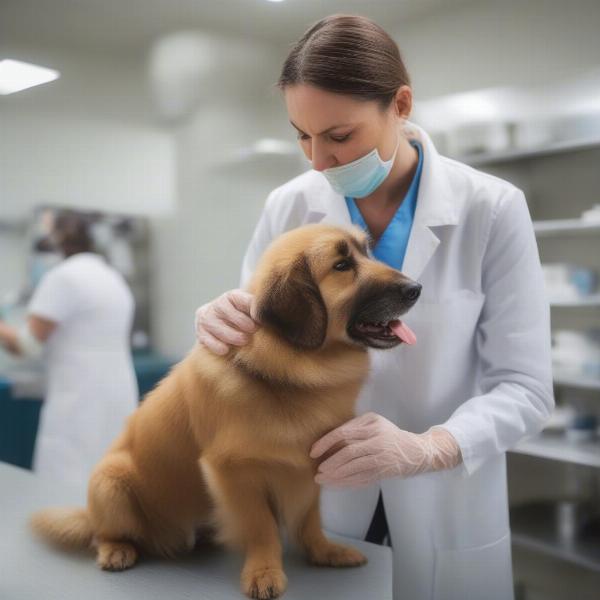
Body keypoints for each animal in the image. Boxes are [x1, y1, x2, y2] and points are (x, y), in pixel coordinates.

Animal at [29, 224, 422, 600]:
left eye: (366, 251)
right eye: (342, 266)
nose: (415, 288)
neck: (288, 378)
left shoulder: (308, 468)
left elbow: (310, 519)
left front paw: (323, 551)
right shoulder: (235, 472)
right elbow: (263, 529)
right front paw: (264, 571)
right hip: (111, 480)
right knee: (105, 533)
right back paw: (117, 549)